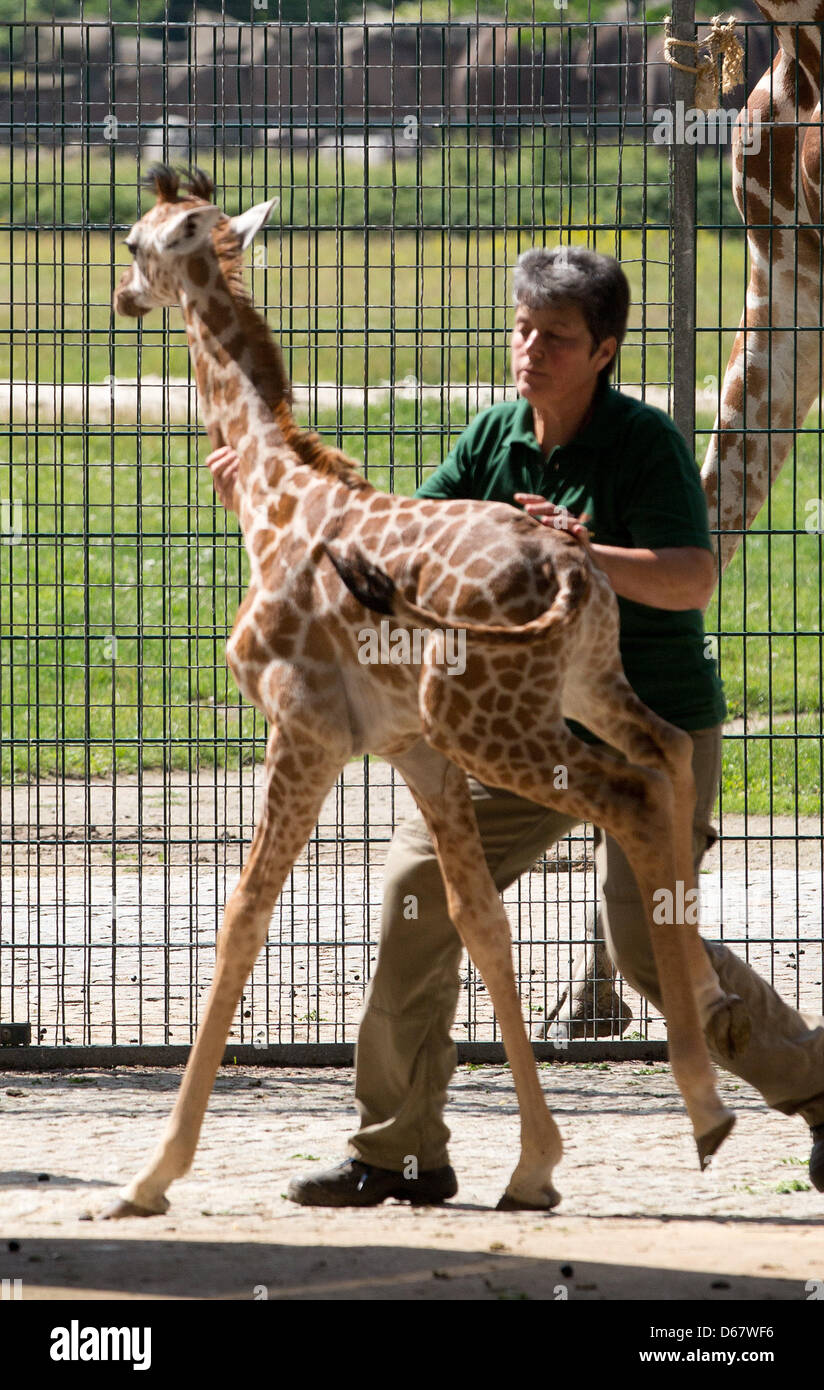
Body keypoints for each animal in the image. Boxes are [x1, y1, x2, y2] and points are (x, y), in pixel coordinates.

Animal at [106, 168, 744, 1217]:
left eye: (133, 243)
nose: (121, 298)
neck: (271, 503)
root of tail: (571, 567)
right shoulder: (411, 749)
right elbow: (478, 925)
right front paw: (533, 1164)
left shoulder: (306, 729)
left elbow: (242, 924)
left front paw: (152, 1175)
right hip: (577, 691)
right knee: (671, 752)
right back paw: (706, 1028)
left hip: (496, 724)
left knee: (634, 792)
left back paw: (705, 1096)